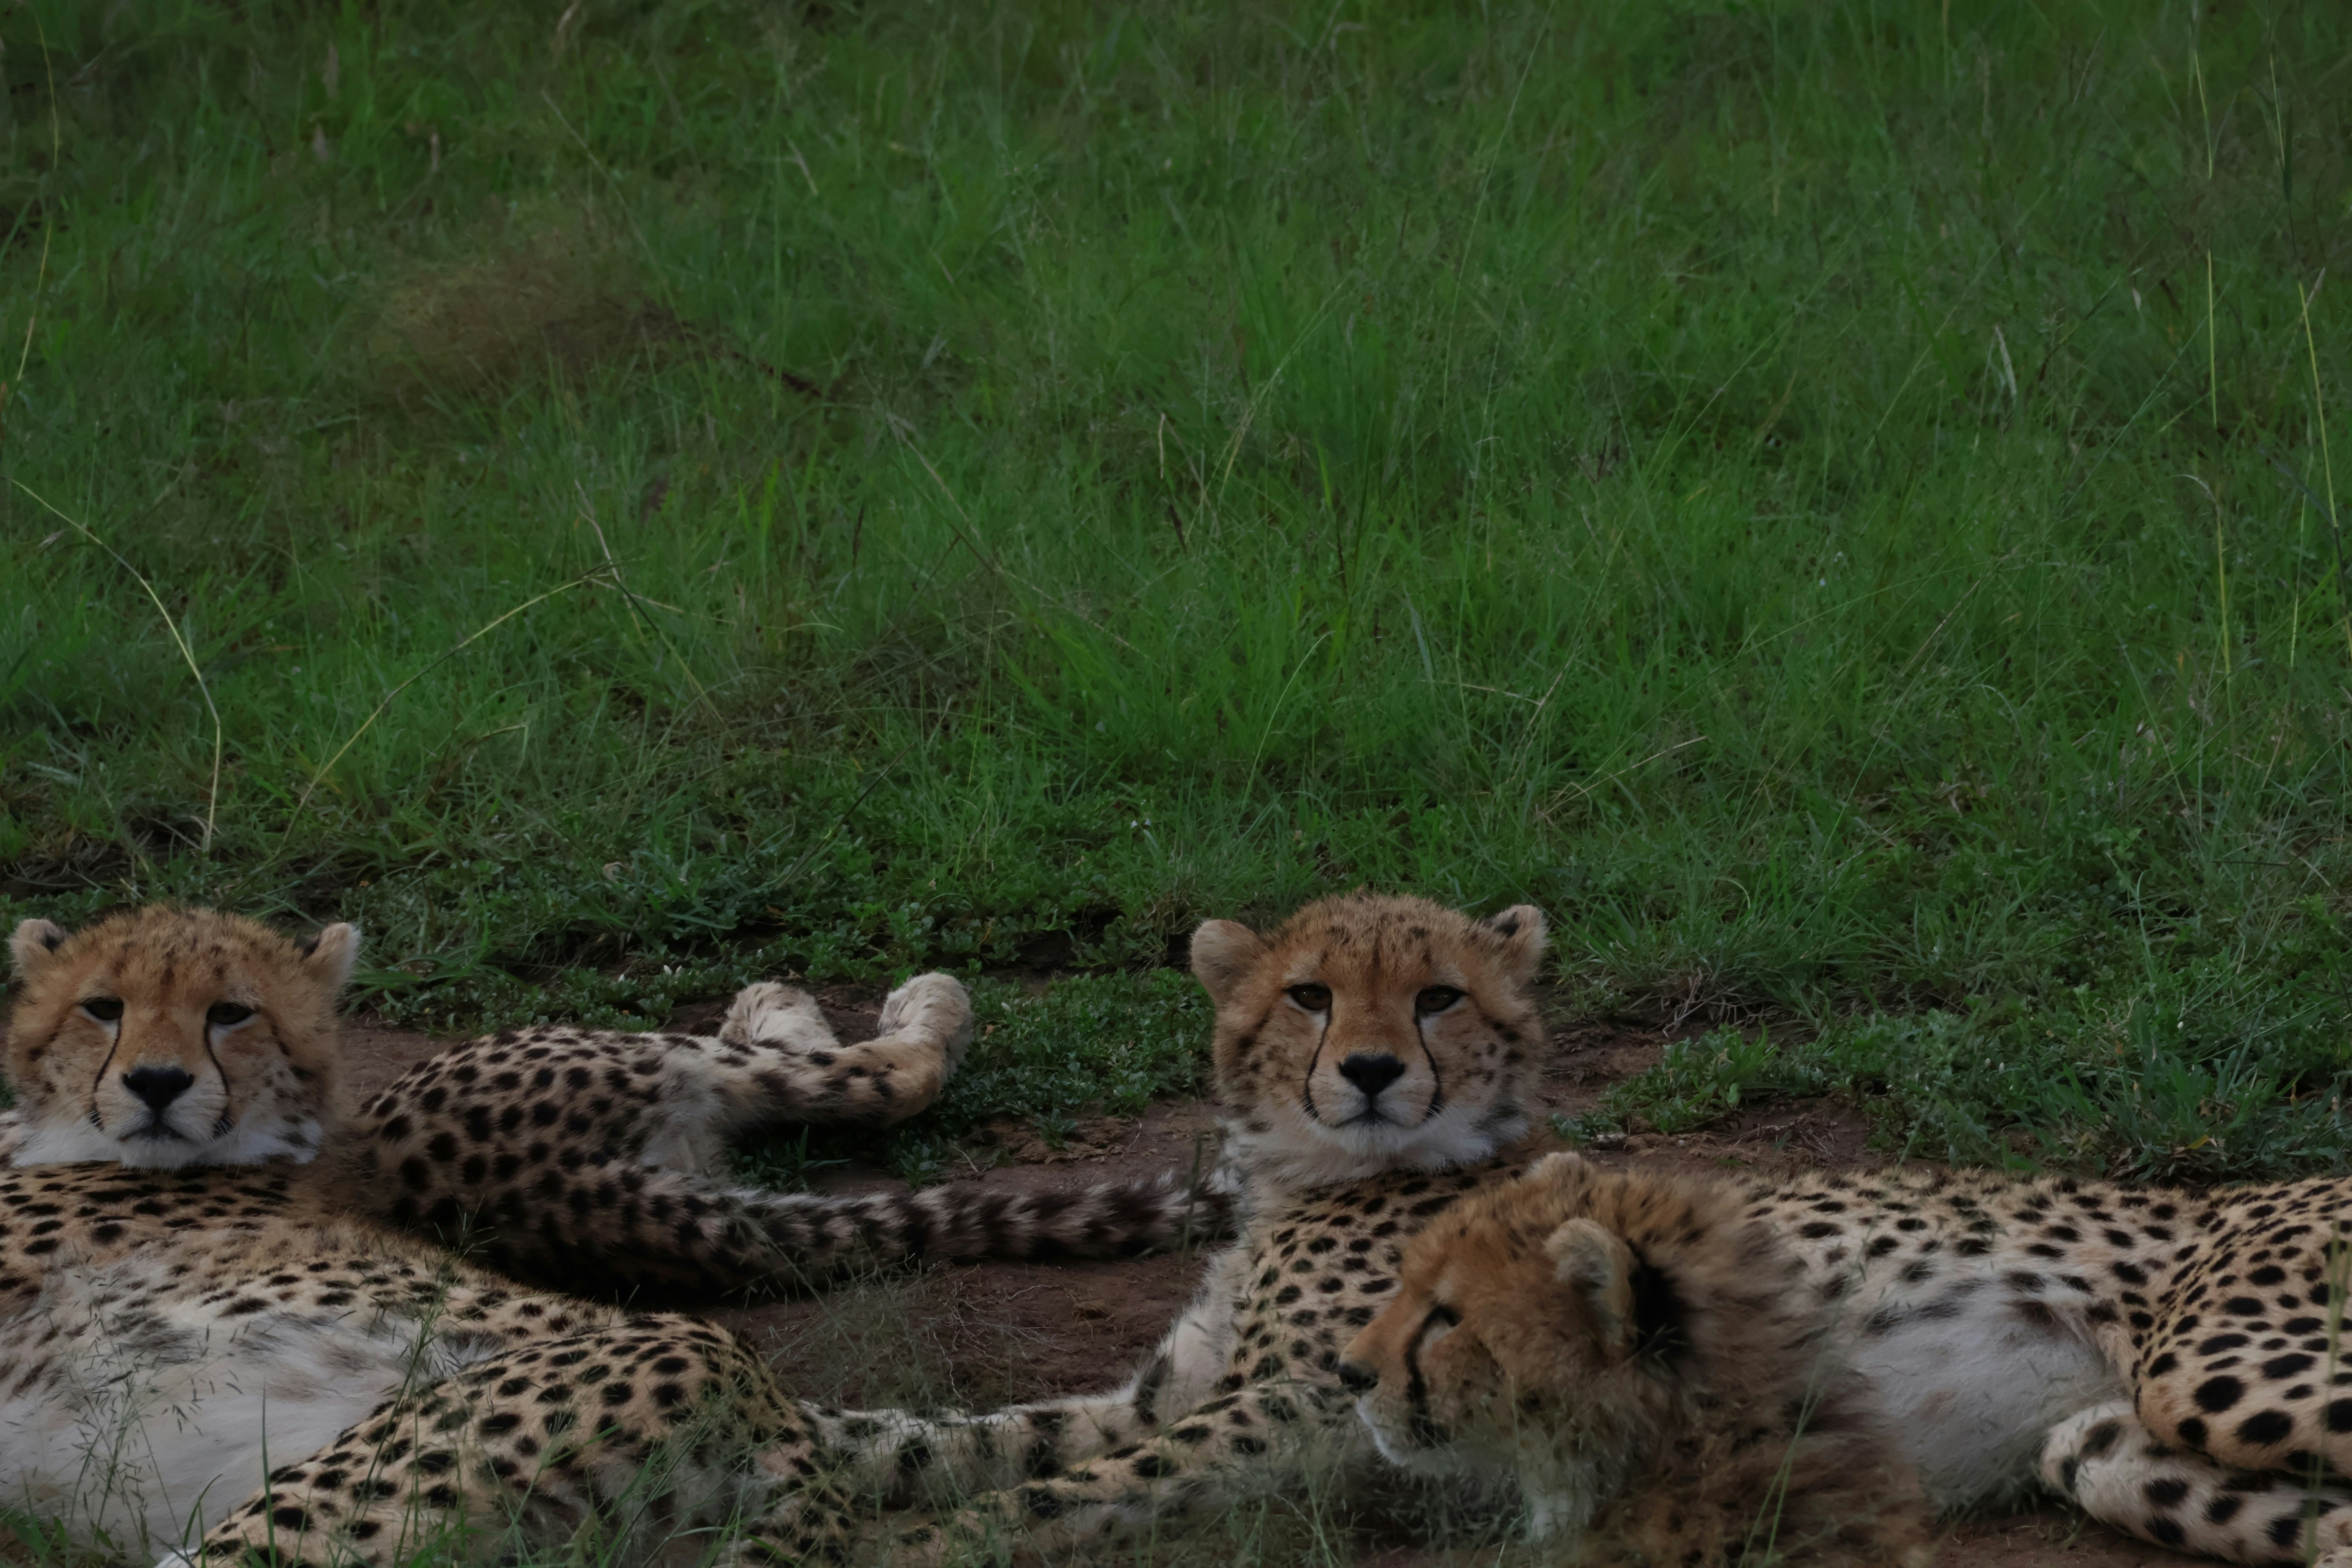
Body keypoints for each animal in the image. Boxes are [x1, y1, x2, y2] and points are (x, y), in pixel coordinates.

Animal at [0, 906, 1223, 1564]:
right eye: (103, 1008)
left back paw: (840, 1000)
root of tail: (791, 1415)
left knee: (868, 1073)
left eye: (230, 1011)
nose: (158, 1085)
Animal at [723, 891, 1557, 1566]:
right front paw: (765, 1425)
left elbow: (1076, 1488)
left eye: (1440, 997)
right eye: (1310, 994)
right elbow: (974, 1439)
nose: (1373, 1069)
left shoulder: (1314, 1402)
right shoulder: (1174, 1392)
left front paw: (905, 1545)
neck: (1314, 1174)